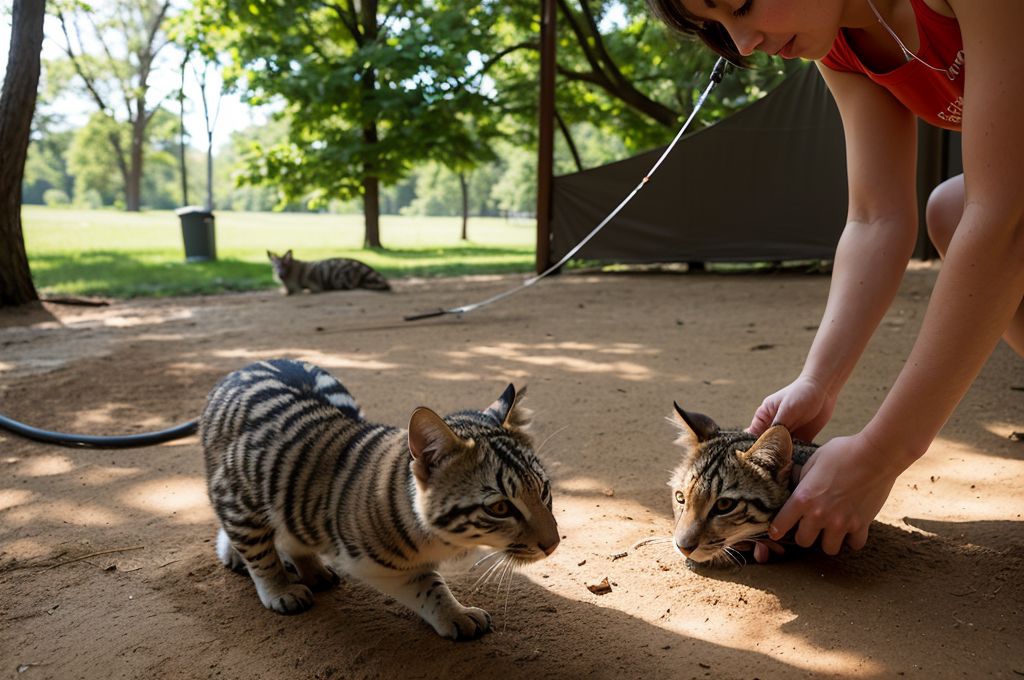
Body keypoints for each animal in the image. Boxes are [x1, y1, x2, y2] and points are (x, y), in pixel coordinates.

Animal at [200, 358, 561, 639]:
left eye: (543, 491)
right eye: (499, 507)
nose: (554, 544)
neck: (440, 540)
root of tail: (251, 364)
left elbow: (432, 587)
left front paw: (456, 614)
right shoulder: (240, 494)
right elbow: (262, 558)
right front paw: (279, 590)